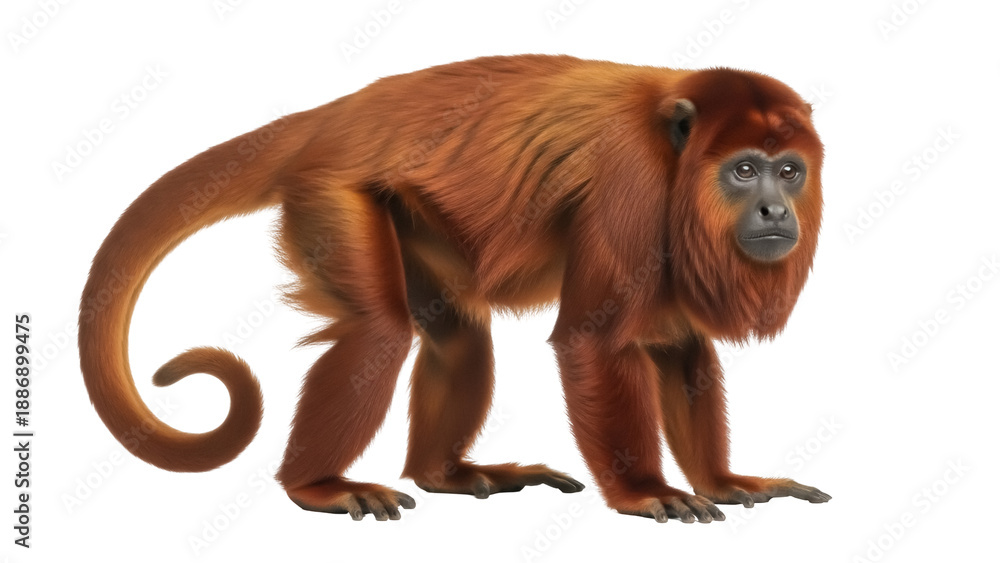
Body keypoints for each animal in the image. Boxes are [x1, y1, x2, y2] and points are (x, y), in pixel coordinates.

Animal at [79, 54, 830, 523]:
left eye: (789, 171)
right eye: (743, 171)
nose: (775, 211)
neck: (679, 151)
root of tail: (335, 117)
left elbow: (679, 348)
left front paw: (725, 483)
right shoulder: (634, 182)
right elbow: (593, 341)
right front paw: (644, 490)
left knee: (459, 337)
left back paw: (446, 473)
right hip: (334, 194)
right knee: (380, 333)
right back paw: (314, 486)